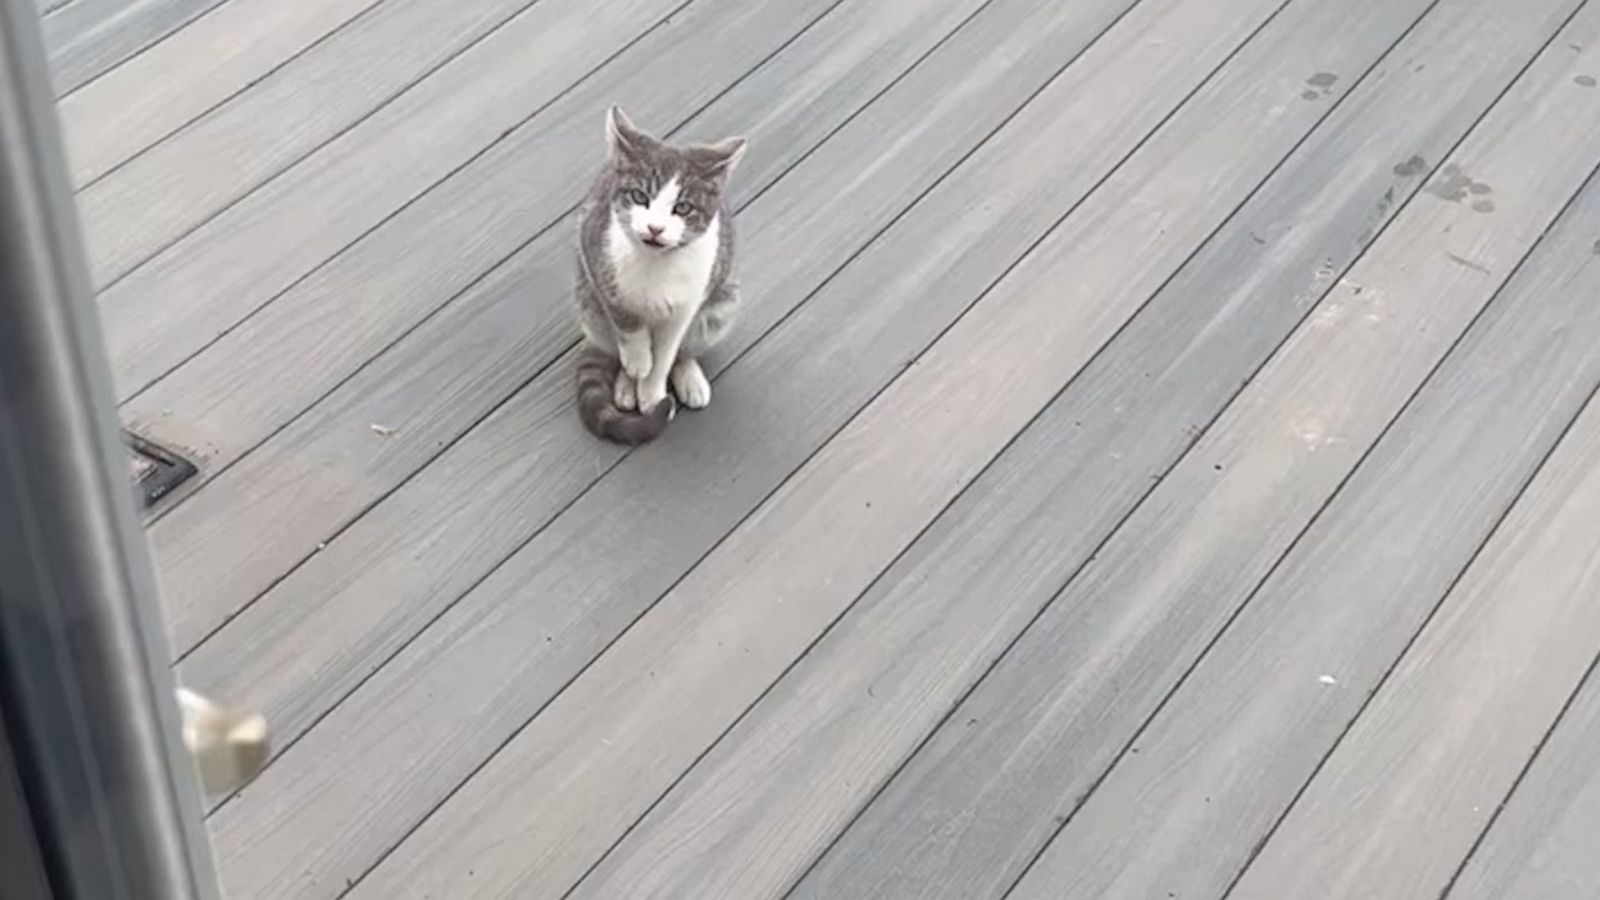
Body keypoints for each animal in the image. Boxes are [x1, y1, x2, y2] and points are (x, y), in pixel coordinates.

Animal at [576, 106, 748, 441]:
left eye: (683, 208)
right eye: (640, 196)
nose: (655, 228)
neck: (655, 266)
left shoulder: (688, 303)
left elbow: (666, 353)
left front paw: (652, 392)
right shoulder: (595, 252)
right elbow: (625, 319)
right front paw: (638, 360)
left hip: (723, 301)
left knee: (687, 347)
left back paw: (688, 377)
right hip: (588, 305)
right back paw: (626, 383)